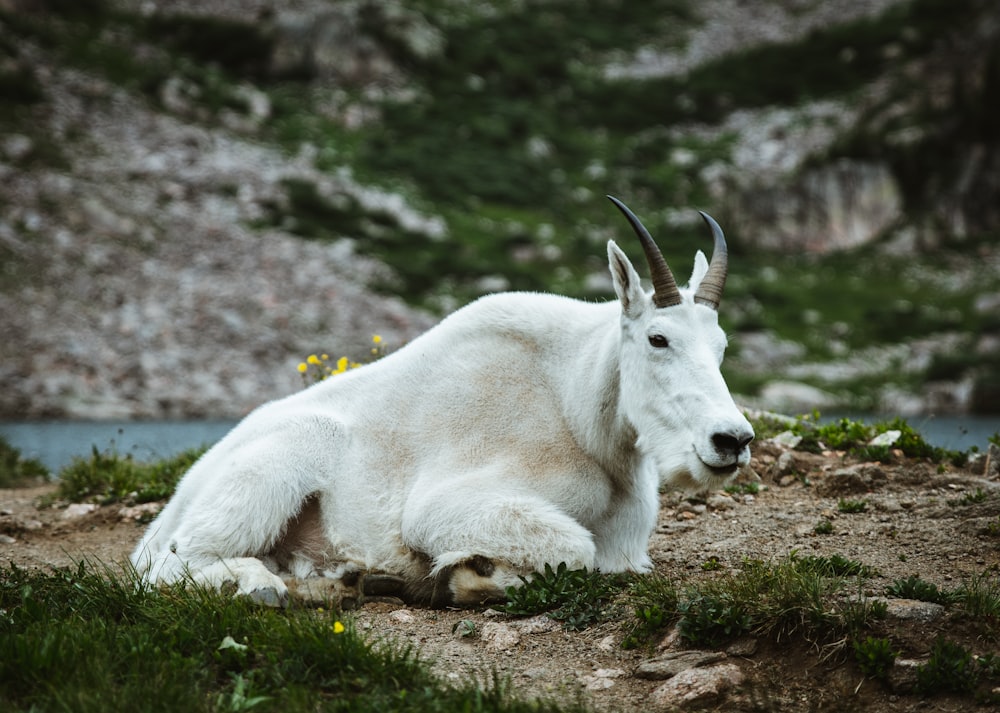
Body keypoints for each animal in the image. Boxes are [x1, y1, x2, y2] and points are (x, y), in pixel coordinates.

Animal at [135, 196, 756, 608]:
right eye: (658, 338)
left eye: (722, 346)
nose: (732, 440)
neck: (578, 408)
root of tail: (181, 493)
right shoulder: (442, 508)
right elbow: (573, 549)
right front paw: (469, 573)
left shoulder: (626, 548)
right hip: (276, 467)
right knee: (174, 563)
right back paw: (262, 586)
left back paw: (341, 580)